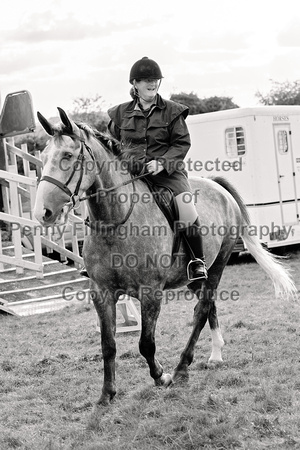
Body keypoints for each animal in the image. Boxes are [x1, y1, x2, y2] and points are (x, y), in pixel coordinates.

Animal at [34, 107, 296, 406]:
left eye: (67, 156)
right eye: (44, 157)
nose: (42, 213)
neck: (116, 220)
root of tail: (218, 187)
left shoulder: (150, 291)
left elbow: (146, 343)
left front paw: (161, 376)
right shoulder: (101, 291)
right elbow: (108, 344)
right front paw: (106, 394)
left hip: (218, 263)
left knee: (203, 309)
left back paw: (182, 367)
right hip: (194, 276)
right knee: (208, 307)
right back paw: (215, 354)